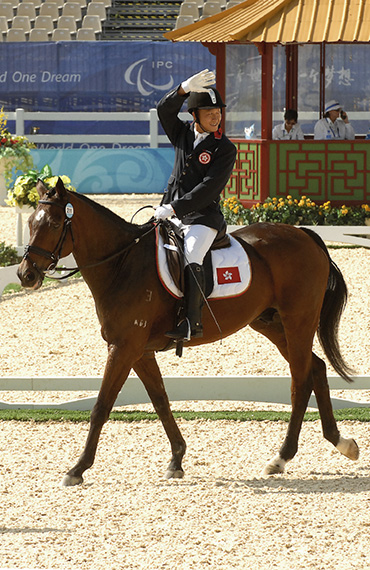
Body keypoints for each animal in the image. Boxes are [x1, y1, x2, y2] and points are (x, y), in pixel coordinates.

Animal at [15, 179, 360, 484]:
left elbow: (101, 405)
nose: (25, 275)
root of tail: (304, 234)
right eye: (31, 222)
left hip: (297, 320)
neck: (122, 264)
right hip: (270, 323)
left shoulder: (124, 347)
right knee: (315, 367)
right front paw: (177, 459)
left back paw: (282, 456)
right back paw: (341, 442)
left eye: (55, 223)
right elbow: (160, 401)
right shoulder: (139, 351)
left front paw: (77, 469)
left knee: (300, 380)